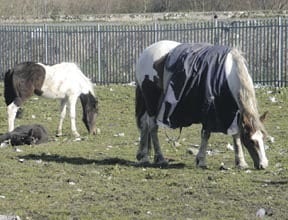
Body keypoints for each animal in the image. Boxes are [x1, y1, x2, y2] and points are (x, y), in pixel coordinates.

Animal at [135, 40, 268, 169]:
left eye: (263, 138)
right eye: (251, 141)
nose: (264, 165)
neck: (227, 75)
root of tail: (145, 53)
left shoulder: (232, 112)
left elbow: (236, 135)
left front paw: (241, 162)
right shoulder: (209, 110)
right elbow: (206, 134)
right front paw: (201, 160)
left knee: (144, 123)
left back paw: (143, 156)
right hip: (151, 101)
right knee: (152, 126)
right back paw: (160, 158)